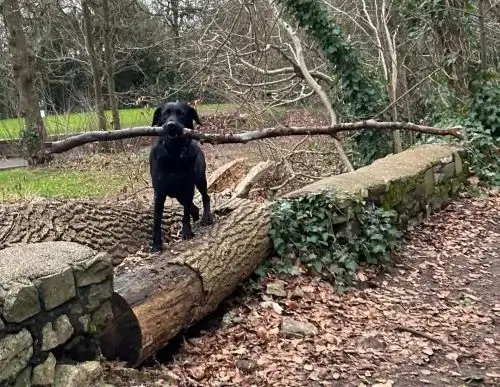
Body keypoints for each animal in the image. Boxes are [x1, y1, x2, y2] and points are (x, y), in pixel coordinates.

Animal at [147, 101, 212, 252]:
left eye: (181, 114)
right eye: (165, 114)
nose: (171, 125)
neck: (175, 153)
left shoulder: (188, 188)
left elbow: (185, 214)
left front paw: (187, 232)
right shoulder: (159, 193)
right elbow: (157, 220)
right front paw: (156, 244)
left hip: (200, 180)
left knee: (206, 197)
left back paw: (206, 218)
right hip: (178, 195)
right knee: (194, 208)